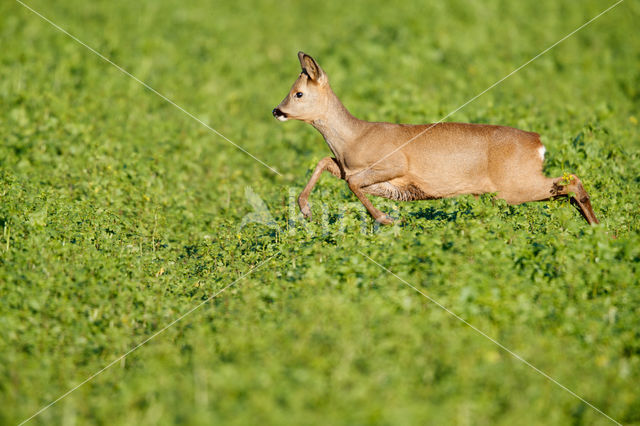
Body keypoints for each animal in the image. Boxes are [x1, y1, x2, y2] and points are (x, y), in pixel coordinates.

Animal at [272, 52, 600, 226]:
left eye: (298, 93)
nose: (276, 110)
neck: (354, 137)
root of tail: (538, 142)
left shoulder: (394, 164)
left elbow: (351, 182)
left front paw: (385, 219)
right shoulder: (356, 171)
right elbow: (326, 163)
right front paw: (304, 209)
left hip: (514, 185)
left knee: (572, 180)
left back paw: (598, 230)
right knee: (567, 186)